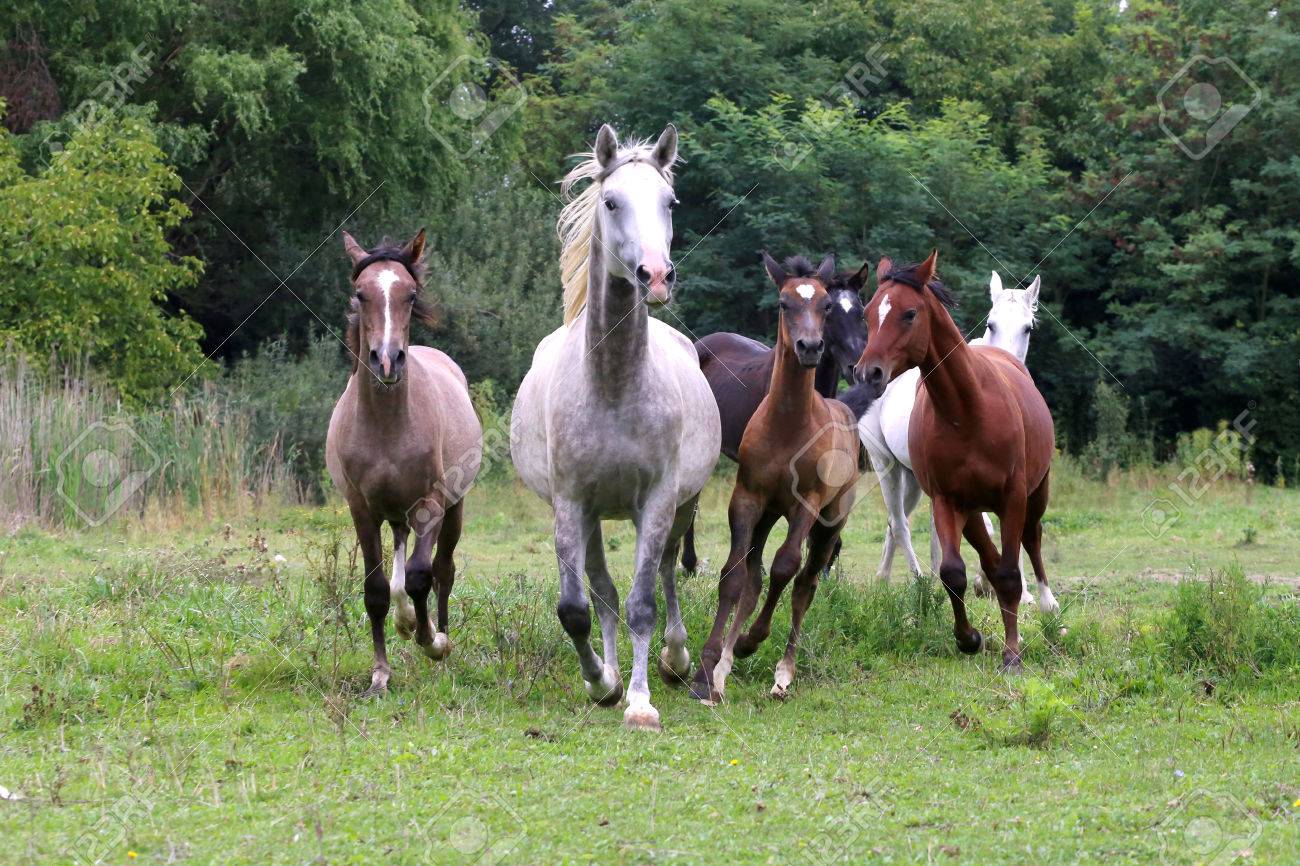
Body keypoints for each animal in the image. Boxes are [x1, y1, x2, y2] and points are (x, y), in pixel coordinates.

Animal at [325, 229, 483, 696]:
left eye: (410, 295)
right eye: (360, 294)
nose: (387, 359)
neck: (387, 426)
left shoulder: (430, 505)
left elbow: (420, 576)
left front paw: (434, 643)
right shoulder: (361, 510)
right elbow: (376, 589)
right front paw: (380, 672)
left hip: (453, 509)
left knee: (442, 571)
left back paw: (438, 636)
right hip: (394, 513)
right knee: (398, 560)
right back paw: (406, 621)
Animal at [510, 123, 721, 732]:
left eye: (669, 202)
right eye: (611, 201)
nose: (656, 275)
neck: (612, 386)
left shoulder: (658, 501)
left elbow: (643, 603)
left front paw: (641, 701)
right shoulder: (570, 504)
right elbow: (577, 607)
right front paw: (602, 682)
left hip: (682, 506)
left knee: (668, 573)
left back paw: (675, 659)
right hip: (593, 517)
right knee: (602, 592)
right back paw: (608, 672)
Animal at [854, 251, 1056, 672]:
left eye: (909, 313)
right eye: (867, 313)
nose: (868, 373)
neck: (968, 409)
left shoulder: (1011, 497)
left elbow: (1009, 564)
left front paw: (1012, 650)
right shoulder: (951, 500)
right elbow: (954, 571)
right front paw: (969, 638)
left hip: (1027, 489)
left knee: (1031, 535)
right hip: (890, 468)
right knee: (900, 524)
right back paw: (914, 581)